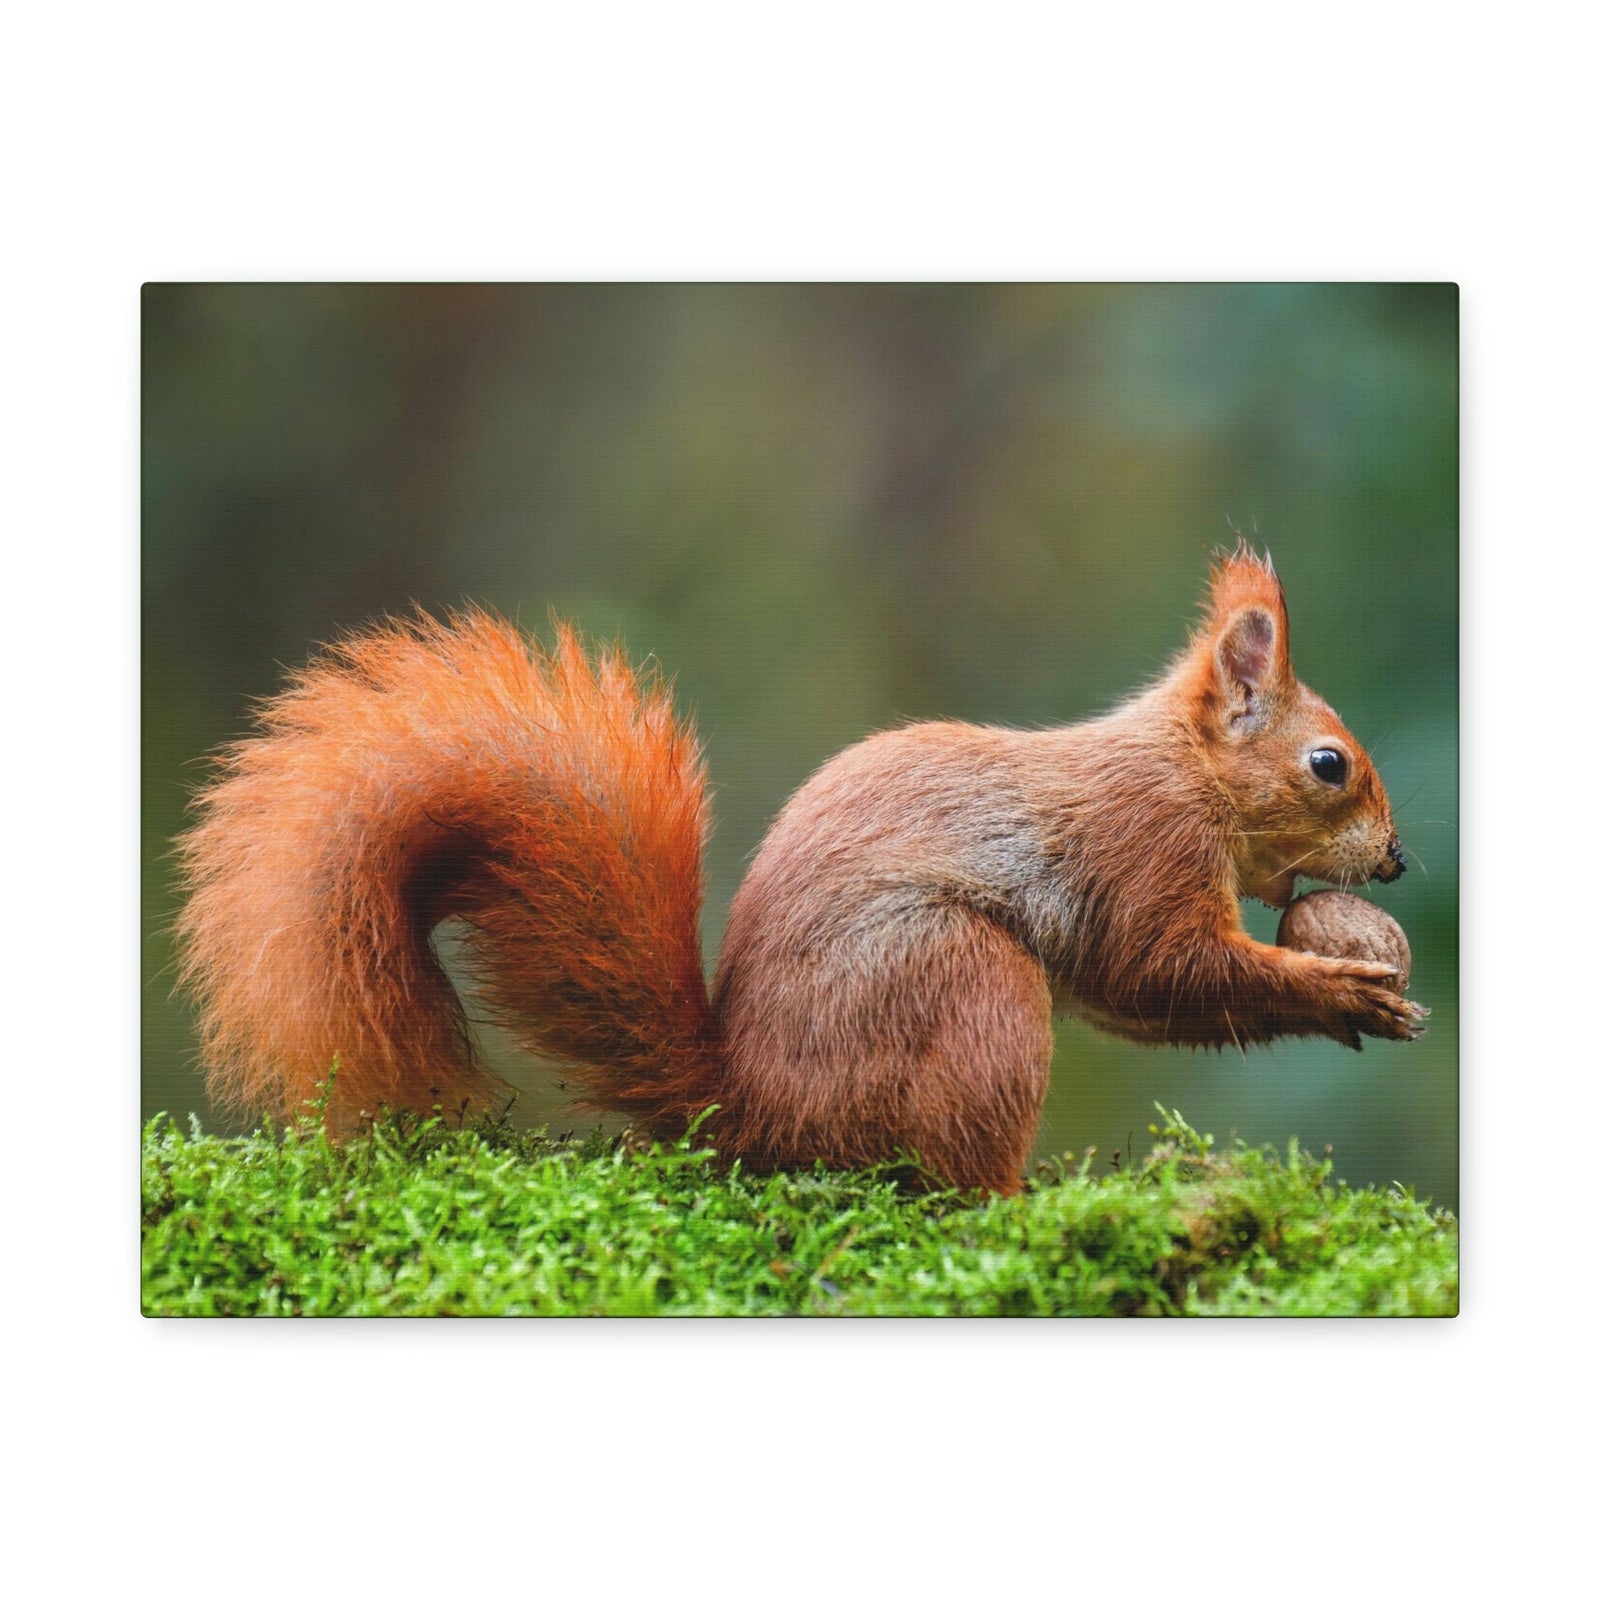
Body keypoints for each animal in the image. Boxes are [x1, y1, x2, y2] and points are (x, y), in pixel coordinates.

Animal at [175, 545, 1425, 1196]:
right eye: (1327, 764)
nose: (1400, 859)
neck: (1182, 769)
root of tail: (749, 1107)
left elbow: (1143, 997)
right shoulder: (1140, 848)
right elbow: (1162, 968)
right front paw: (1339, 989)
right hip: (960, 983)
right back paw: (1011, 1201)